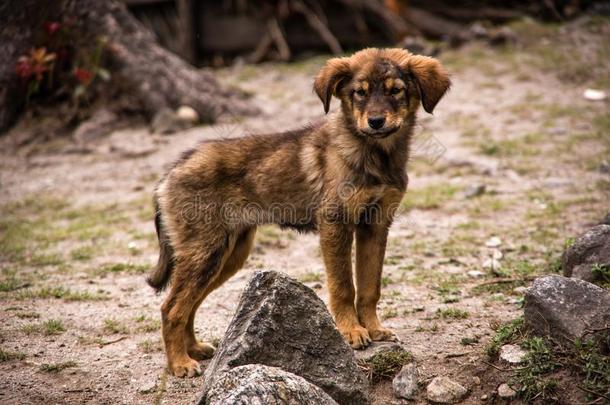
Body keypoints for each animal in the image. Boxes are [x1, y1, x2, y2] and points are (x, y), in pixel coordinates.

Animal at [148, 49, 446, 378]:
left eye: (396, 91)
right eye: (360, 93)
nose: (376, 121)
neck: (375, 154)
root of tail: (170, 173)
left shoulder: (376, 225)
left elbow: (370, 286)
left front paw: (374, 328)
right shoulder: (336, 224)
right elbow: (343, 285)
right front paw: (351, 331)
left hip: (228, 254)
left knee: (188, 303)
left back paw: (194, 349)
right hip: (205, 252)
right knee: (171, 308)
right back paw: (179, 363)